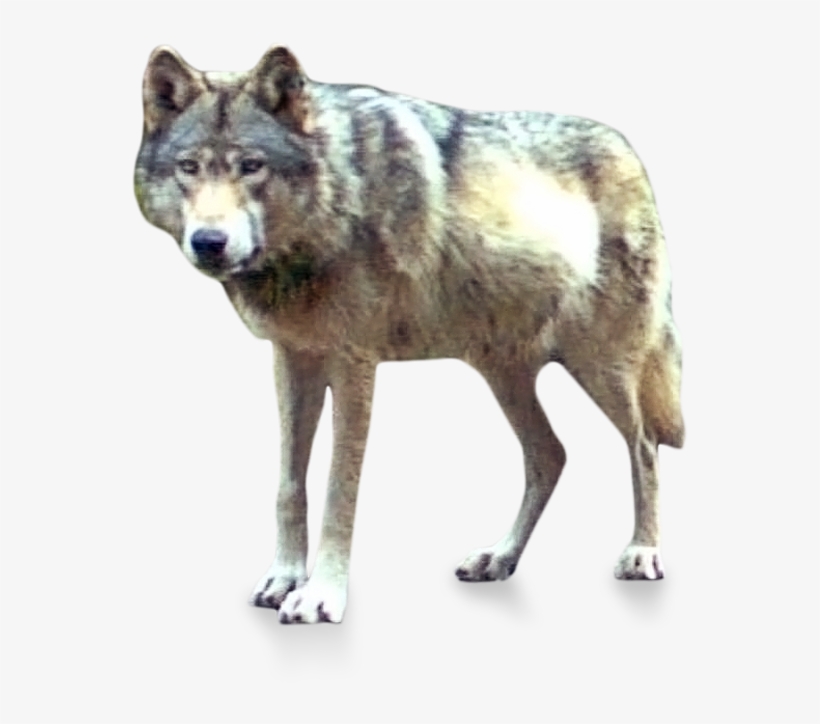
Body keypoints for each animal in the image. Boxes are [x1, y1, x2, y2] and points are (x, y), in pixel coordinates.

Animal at [135, 46, 684, 624]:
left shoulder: (354, 364)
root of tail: (628, 148)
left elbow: (339, 490)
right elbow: (289, 485)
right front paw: (284, 578)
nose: (209, 242)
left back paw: (642, 552)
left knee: (644, 444)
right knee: (550, 455)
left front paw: (321, 595)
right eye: (188, 167)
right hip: (503, 376)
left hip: (602, 366)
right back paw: (499, 558)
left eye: (251, 166)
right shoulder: (292, 358)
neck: (334, 203)